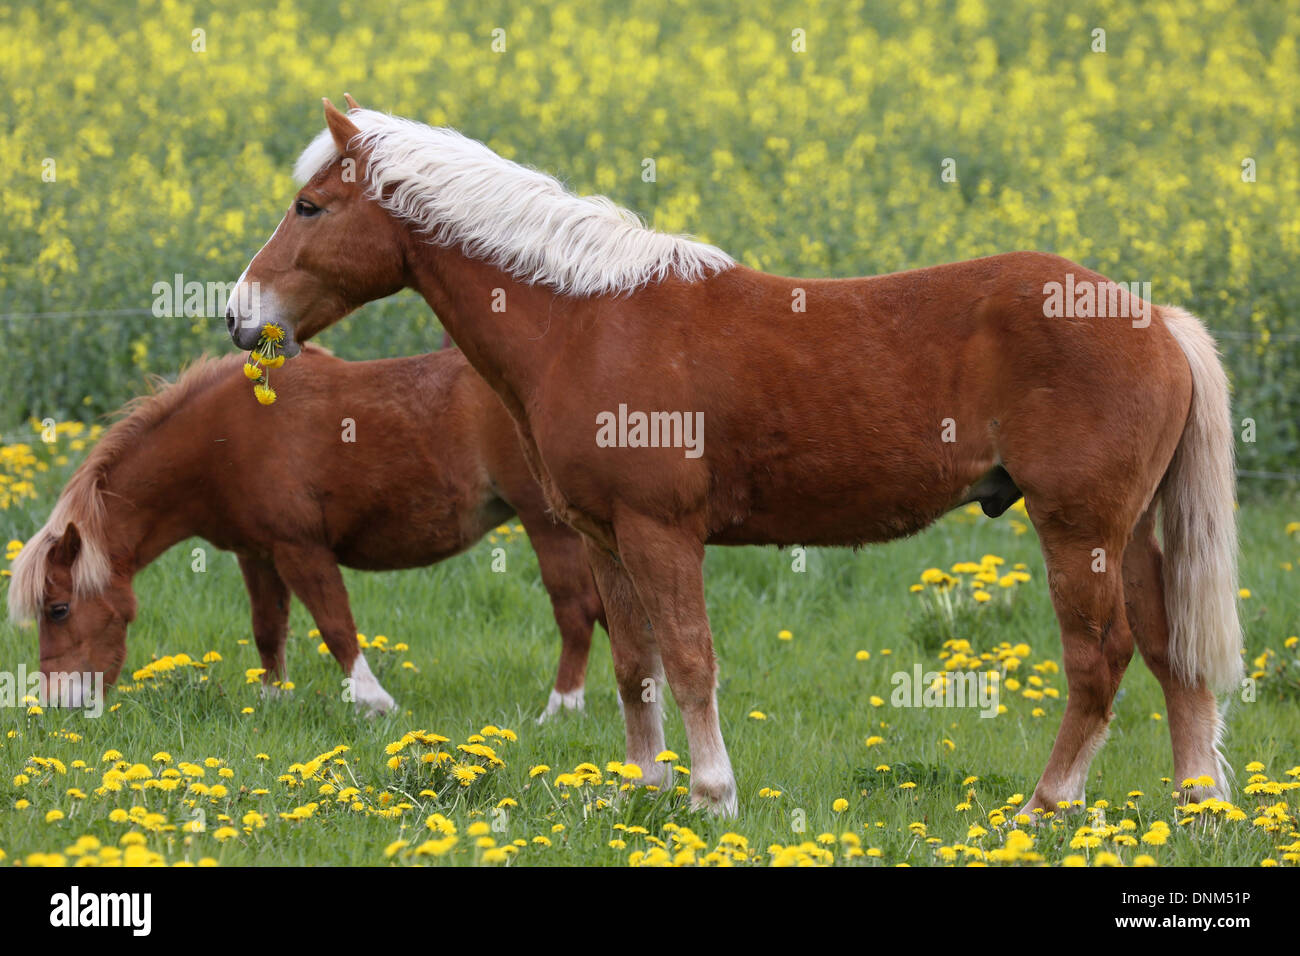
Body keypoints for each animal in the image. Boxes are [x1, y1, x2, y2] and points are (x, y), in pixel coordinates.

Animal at [8, 345, 603, 717]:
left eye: (57, 609)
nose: (57, 705)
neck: (222, 439)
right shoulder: (257, 554)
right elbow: (268, 630)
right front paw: (275, 700)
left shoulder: (300, 549)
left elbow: (336, 627)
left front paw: (374, 703)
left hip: (547, 524)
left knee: (575, 612)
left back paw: (562, 708)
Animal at [223, 95, 1237, 816]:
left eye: (311, 205)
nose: (238, 314)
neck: (584, 319)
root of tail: (1156, 319)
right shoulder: (603, 537)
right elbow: (633, 664)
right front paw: (644, 791)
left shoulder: (662, 531)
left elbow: (689, 659)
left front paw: (713, 796)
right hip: (1127, 534)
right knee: (1170, 653)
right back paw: (1196, 806)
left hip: (1078, 532)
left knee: (1100, 660)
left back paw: (1044, 809)